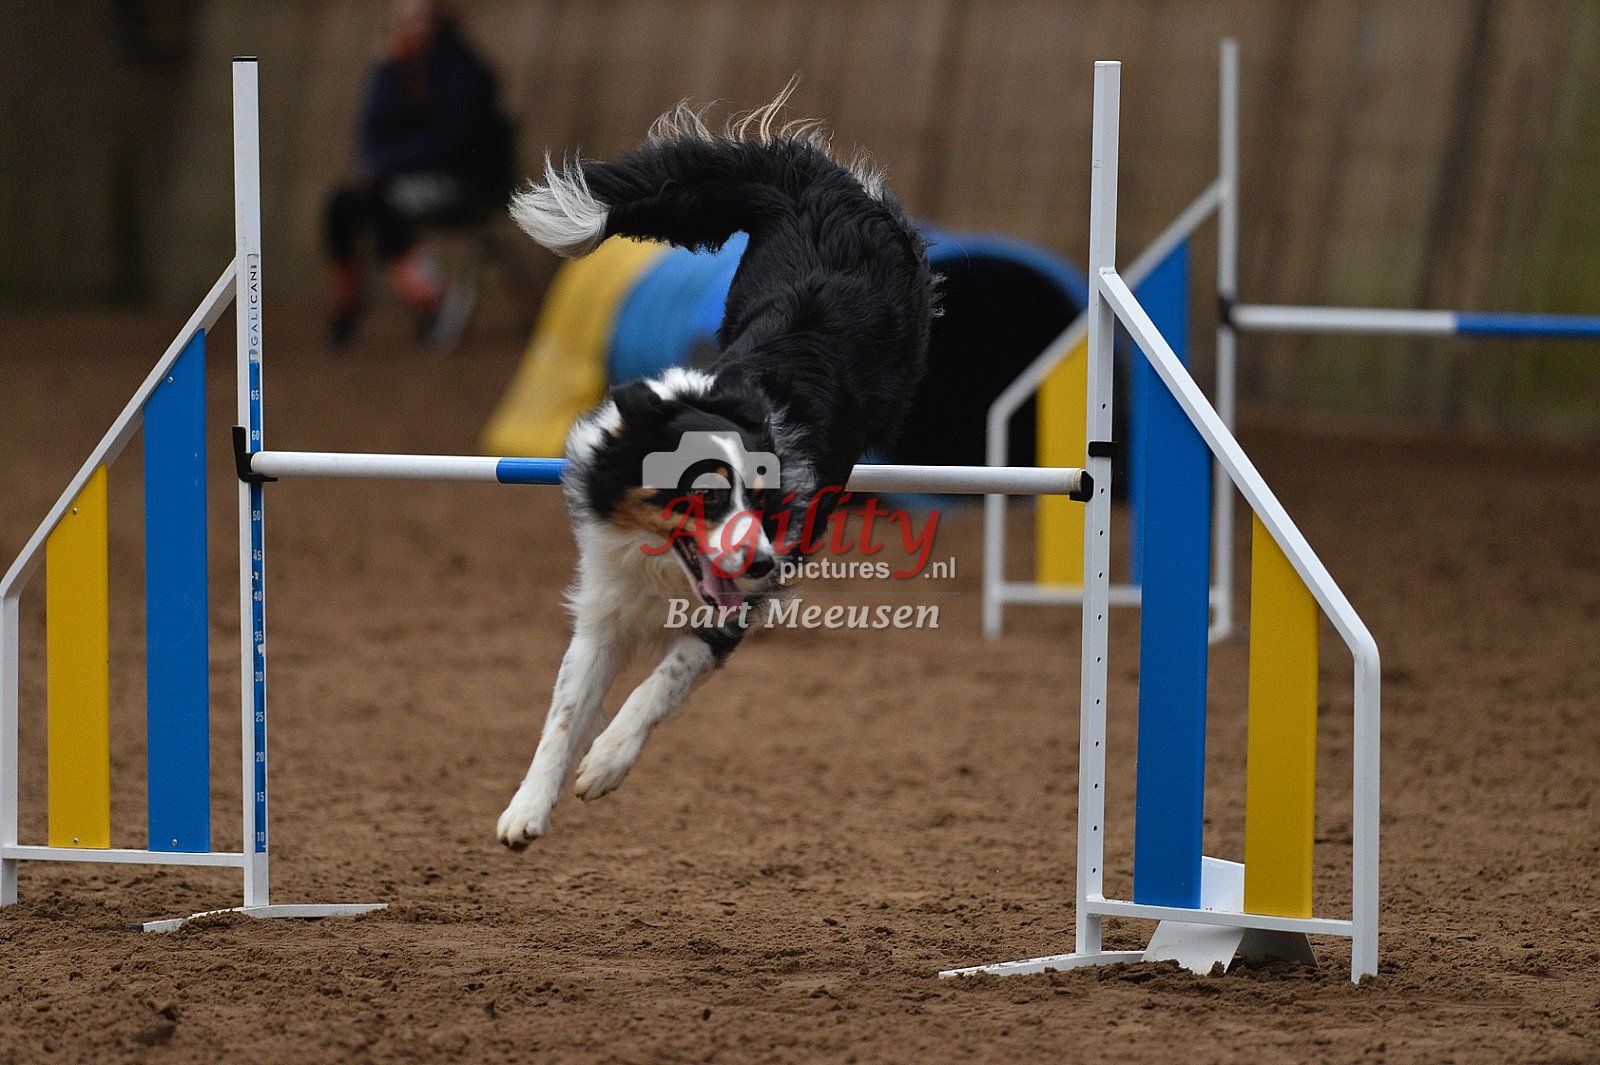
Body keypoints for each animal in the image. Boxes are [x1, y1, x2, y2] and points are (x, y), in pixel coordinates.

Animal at [495, 90, 935, 848]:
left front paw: (605, 762)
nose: (759, 560)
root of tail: (822, 187)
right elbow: (563, 709)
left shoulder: (740, 603)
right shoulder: (605, 604)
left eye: (761, 499)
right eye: (703, 497)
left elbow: (663, 678)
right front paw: (526, 808)